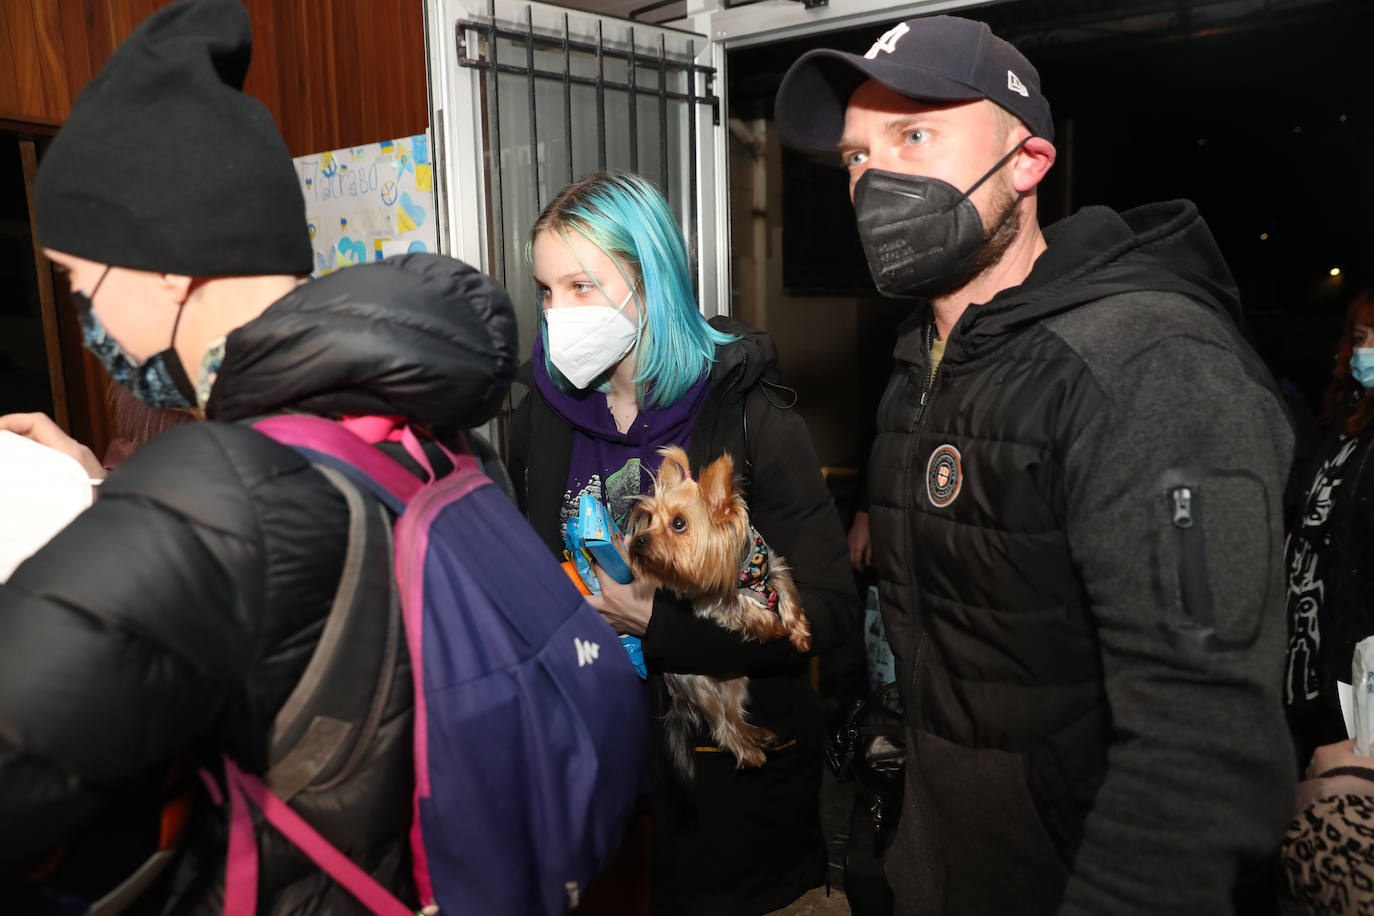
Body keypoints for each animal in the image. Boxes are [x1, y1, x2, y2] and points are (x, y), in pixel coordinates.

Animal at [629, 444, 807, 780]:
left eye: (679, 523)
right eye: (649, 519)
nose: (639, 541)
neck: (742, 571)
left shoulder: (775, 565)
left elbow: (787, 593)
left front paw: (801, 634)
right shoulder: (710, 604)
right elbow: (740, 608)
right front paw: (771, 626)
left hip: (739, 682)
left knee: (733, 716)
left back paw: (757, 735)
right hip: (698, 686)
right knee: (722, 726)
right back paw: (750, 754)